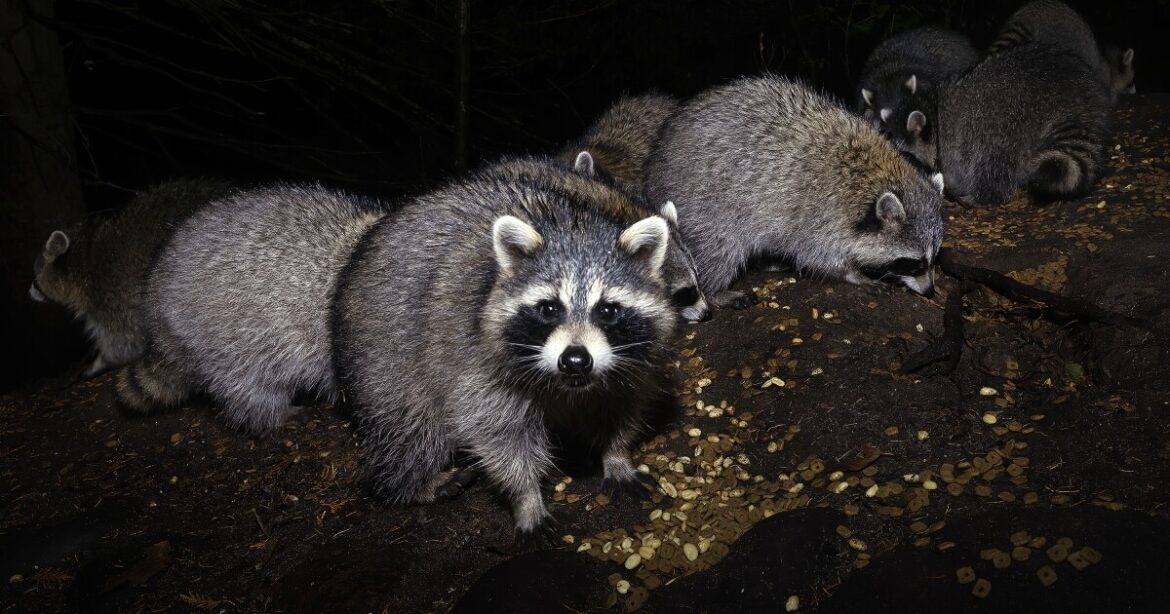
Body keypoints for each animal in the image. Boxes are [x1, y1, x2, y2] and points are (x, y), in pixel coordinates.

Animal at [29, 179, 233, 377]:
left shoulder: (110, 298)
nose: (29, 289)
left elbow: (122, 344)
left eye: (36, 272)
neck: (85, 257)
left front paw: (99, 363)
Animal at [332, 156, 677, 538]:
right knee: (411, 428)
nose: (575, 360)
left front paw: (616, 454)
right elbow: (498, 433)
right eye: (549, 308)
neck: (577, 229)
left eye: (607, 310)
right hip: (385, 353)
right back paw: (409, 483)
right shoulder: (474, 360)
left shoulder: (632, 359)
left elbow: (619, 405)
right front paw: (526, 497)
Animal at [643, 74, 946, 301]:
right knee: (720, 248)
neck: (872, 175)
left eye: (934, 258)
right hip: (704, 202)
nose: (930, 291)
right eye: (915, 262)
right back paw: (715, 290)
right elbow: (817, 254)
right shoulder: (815, 214)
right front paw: (855, 274)